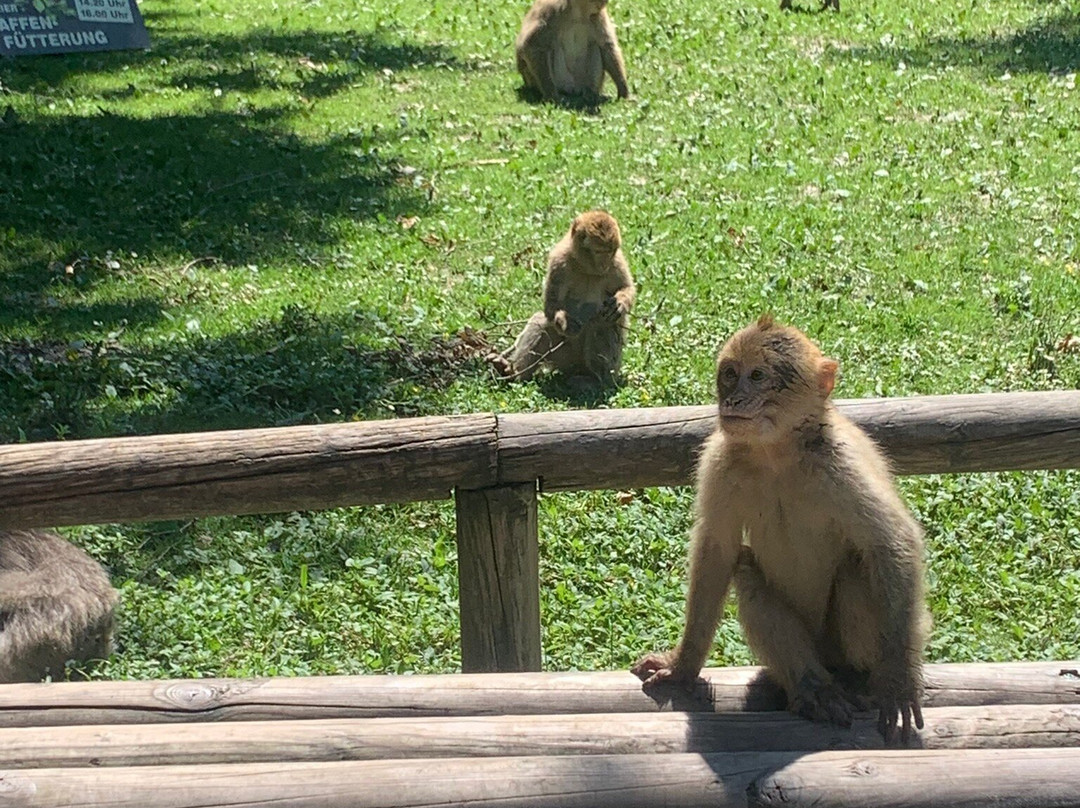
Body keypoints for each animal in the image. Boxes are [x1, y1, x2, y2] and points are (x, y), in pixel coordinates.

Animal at [492, 210, 635, 386]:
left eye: (610, 251)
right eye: (599, 252)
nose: (604, 265)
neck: (585, 267)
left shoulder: (617, 262)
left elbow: (627, 289)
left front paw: (620, 304)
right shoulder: (559, 261)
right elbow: (550, 307)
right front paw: (564, 321)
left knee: (603, 323)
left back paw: (596, 379)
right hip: (564, 357)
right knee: (542, 324)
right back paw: (514, 372)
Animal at [632, 316, 930, 744]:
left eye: (757, 376)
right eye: (730, 374)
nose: (732, 400)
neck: (777, 453)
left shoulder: (841, 462)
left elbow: (893, 543)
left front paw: (899, 681)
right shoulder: (719, 460)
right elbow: (717, 550)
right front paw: (684, 664)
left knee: (857, 563)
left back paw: (855, 678)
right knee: (747, 572)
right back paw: (813, 689)